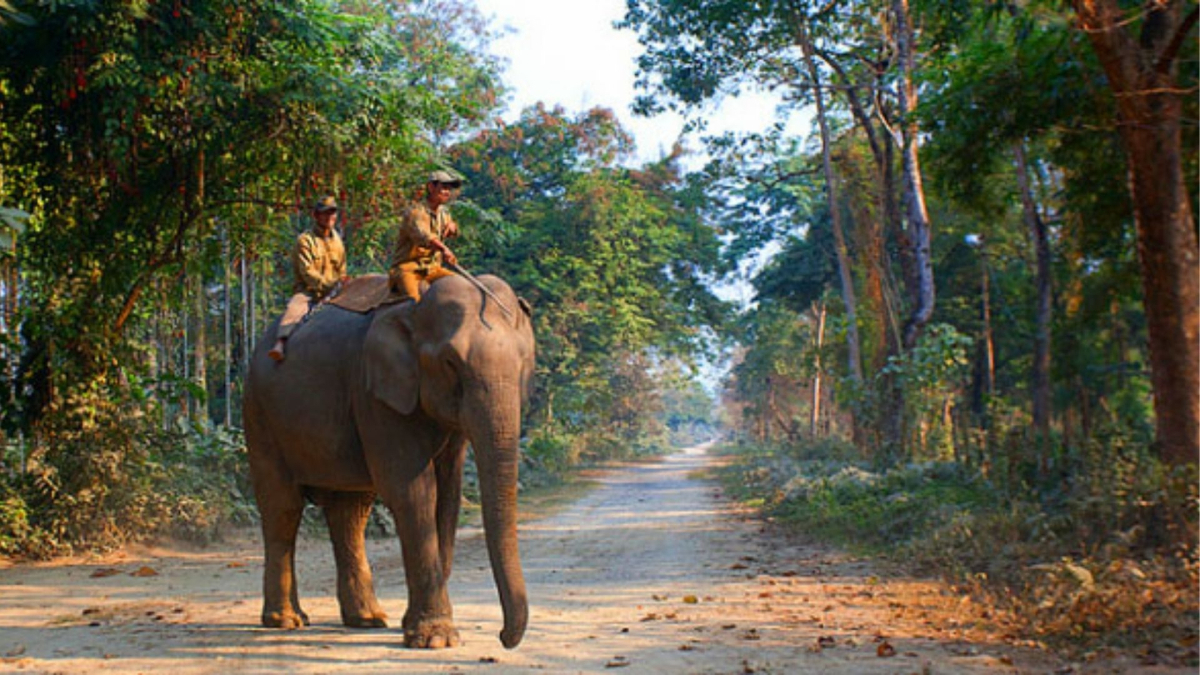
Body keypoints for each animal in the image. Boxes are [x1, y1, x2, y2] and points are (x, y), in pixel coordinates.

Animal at [243, 273, 535, 648]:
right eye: (450, 363)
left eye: (524, 362)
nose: (502, 636)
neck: (414, 306)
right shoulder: (375, 393)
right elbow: (412, 491)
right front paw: (436, 639)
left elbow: (448, 495)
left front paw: (415, 626)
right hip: (259, 414)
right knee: (283, 508)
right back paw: (287, 621)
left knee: (350, 512)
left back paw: (366, 620)